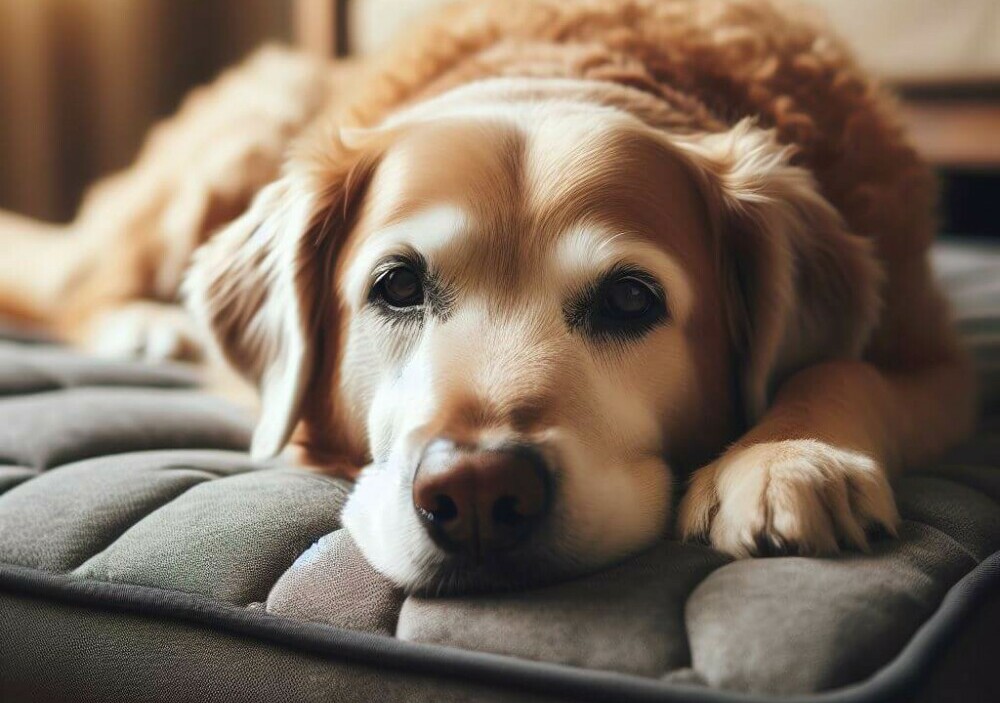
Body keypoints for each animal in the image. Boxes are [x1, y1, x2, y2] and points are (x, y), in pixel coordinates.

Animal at [0, 0, 976, 592]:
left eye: (631, 300)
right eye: (396, 285)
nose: (475, 492)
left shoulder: (936, 351)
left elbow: (848, 369)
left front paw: (789, 456)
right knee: (80, 276)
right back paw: (144, 324)